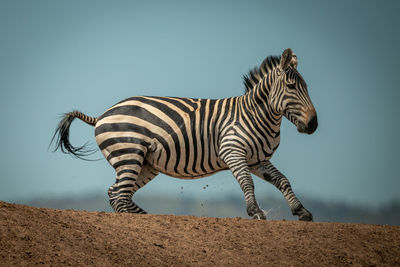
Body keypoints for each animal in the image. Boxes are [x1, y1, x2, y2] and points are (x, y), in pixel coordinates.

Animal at [51, 48, 318, 222]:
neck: (255, 114)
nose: (313, 124)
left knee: (116, 193)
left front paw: (301, 211)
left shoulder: (257, 159)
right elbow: (247, 182)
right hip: (129, 154)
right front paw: (256, 213)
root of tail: (101, 115)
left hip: (145, 164)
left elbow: (282, 180)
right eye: (292, 87)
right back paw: (140, 222)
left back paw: (145, 218)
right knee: (119, 194)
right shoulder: (232, 151)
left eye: (307, 87)